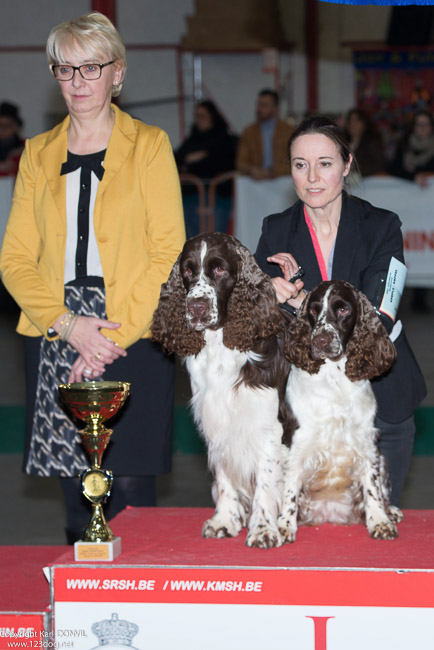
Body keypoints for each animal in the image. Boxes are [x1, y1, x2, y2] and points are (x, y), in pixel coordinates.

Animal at [151, 233, 294, 548]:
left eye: (219, 270)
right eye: (188, 270)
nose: (197, 307)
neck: (221, 345)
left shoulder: (268, 423)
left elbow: (266, 478)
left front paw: (263, 528)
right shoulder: (217, 420)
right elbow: (225, 474)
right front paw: (225, 520)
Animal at [278, 280, 404, 540]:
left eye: (344, 310)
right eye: (313, 310)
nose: (320, 341)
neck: (333, 377)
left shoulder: (366, 441)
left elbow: (372, 487)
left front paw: (380, 521)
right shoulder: (297, 441)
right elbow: (290, 486)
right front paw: (284, 525)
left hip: (382, 459)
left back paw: (390, 511)